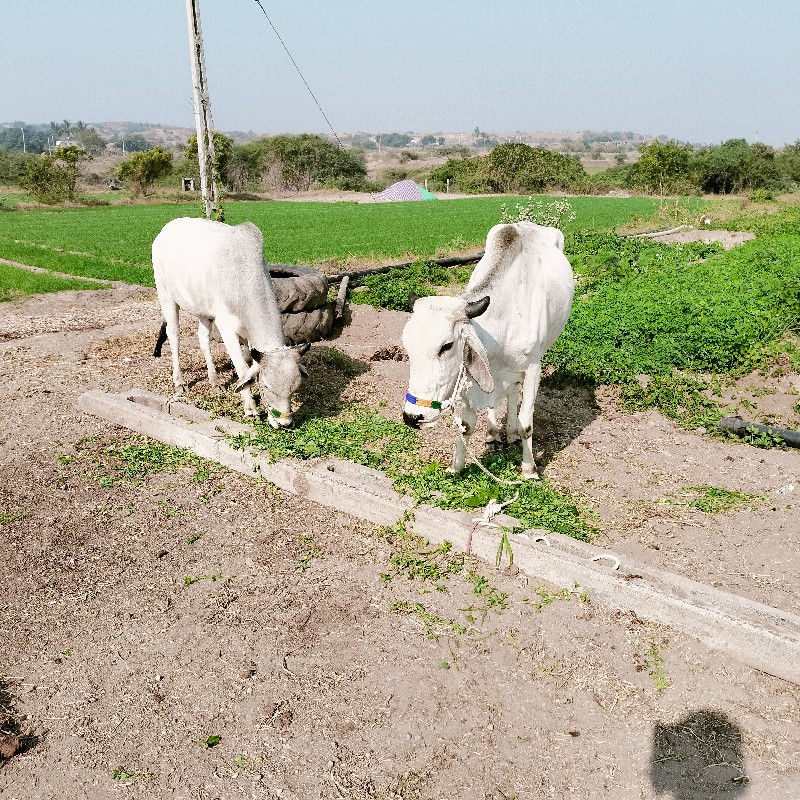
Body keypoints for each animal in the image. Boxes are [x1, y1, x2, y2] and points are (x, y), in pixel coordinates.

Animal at [152, 212, 306, 424]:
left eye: (295, 388)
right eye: (266, 386)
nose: (284, 422)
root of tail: (167, 228)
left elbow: (248, 363)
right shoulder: (226, 327)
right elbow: (241, 367)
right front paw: (250, 408)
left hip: (204, 310)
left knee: (203, 339)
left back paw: (215, 382)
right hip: (166, 296)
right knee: (174, 336)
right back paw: (179, 382)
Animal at [404, 220, 572, 476]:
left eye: (447, 346)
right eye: (407, 347)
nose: (412, 417)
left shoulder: (533, 369)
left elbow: (526, 424)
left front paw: (529, 469)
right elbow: (466, 425)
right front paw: (457, 466)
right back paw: (497, 433)